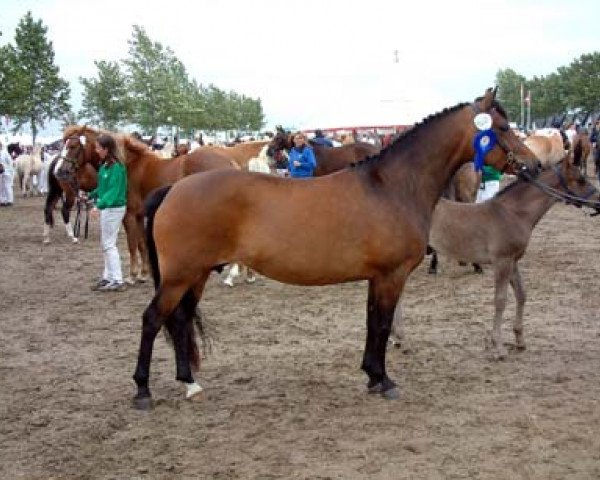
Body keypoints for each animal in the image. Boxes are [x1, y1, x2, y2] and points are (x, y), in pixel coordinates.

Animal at [61, 124, 239, 284]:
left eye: (73, 146)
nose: (62, 171)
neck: (127, 164)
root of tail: (229, 162)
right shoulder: (140, 215)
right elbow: (142, 244)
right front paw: (144, 274)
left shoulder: (129, 214)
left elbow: (132, 244)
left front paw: (132, 276)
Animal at [392, 152, 600, 358]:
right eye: (581, 180)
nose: (598, 202)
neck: (513, 213)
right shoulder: (502, 261)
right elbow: (500, 300)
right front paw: (498, 347)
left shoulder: (513, 261)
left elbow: (521, 294)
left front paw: (519, 340)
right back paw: (402, 339)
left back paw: (398, 339)